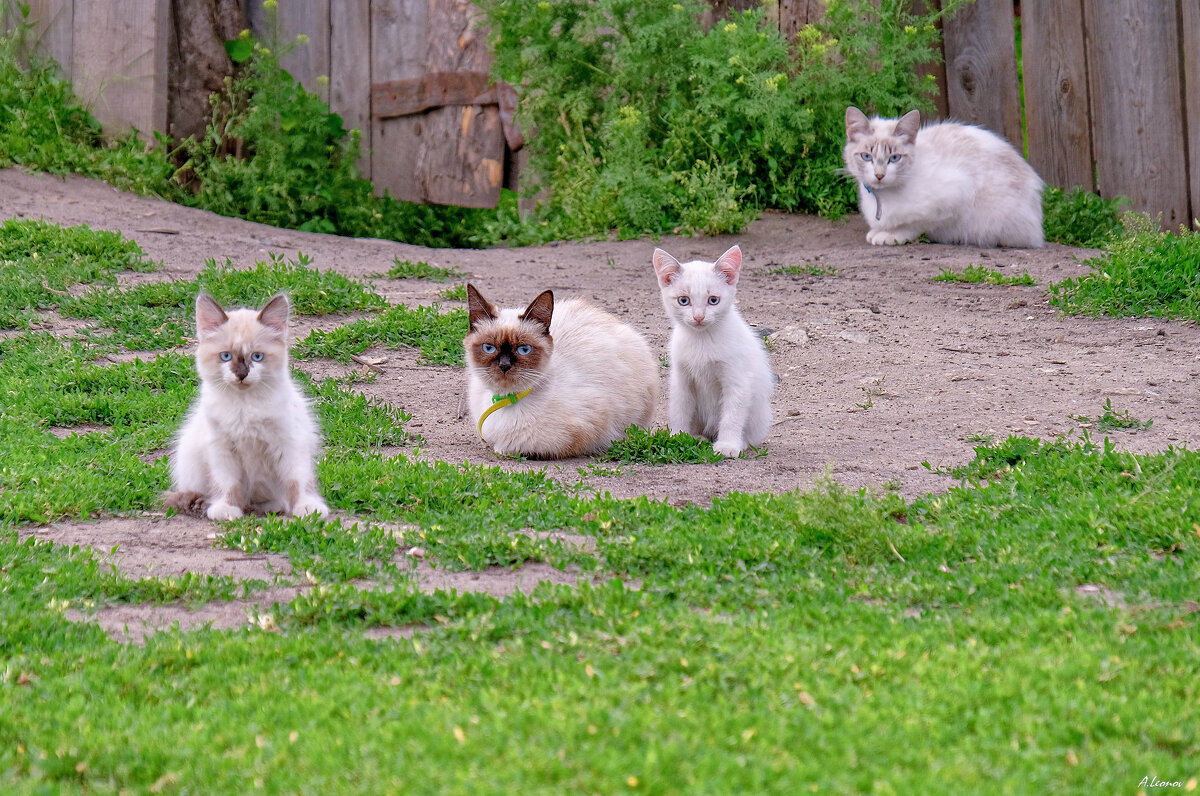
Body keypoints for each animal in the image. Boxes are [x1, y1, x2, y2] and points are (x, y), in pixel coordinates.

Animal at [163, 292, 328, 523]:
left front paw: (308, 508)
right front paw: (227, 509)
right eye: (226, 356)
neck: (244, 406)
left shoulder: (290, 444)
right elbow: (228, 485)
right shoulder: (221, 449)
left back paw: (270, 508)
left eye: (257, 356)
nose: (241, 374)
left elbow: (298, 482)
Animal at [652, 242, 772, 458]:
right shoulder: (681, 379)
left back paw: (741, 442)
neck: (702, 340)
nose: (699, 317)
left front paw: (727, 445)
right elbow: (680, 409)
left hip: (759, 411)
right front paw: (677, 436)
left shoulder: (737, 380)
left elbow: (732, 415)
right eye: (684, 300)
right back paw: (697, 437)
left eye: (713, 300)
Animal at [840, 105, 1046, 247]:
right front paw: (877, 231)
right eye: (867, 156)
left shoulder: (953, 197)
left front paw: (890, 235)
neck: (880, 198)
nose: (879, 175)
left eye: (894, 158)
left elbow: (914, 224)